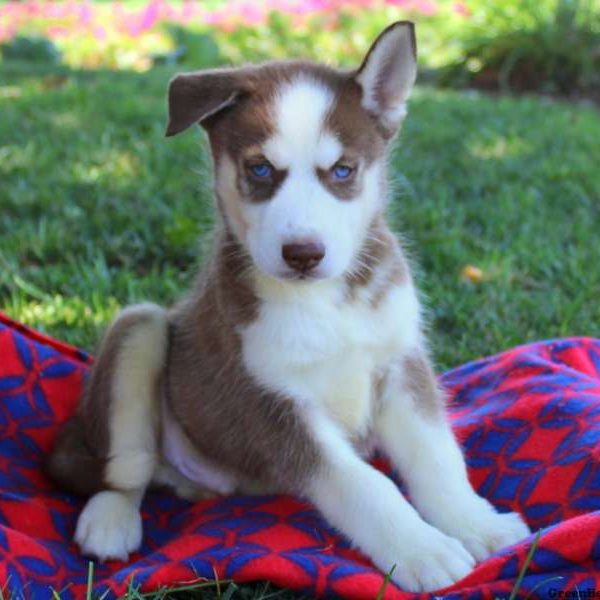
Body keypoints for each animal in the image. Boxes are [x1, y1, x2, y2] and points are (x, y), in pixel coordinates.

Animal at [49, 22, 532, 592]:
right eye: (260, 169)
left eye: (342, 171)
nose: (303, 253)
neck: (327, 302)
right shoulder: (272, 402)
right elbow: (362, 484)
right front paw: (421, 549)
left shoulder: (400, 362)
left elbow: (437, 455)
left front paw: (475, 524)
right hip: (140, 325)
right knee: (127, 466)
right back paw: (110, 522)